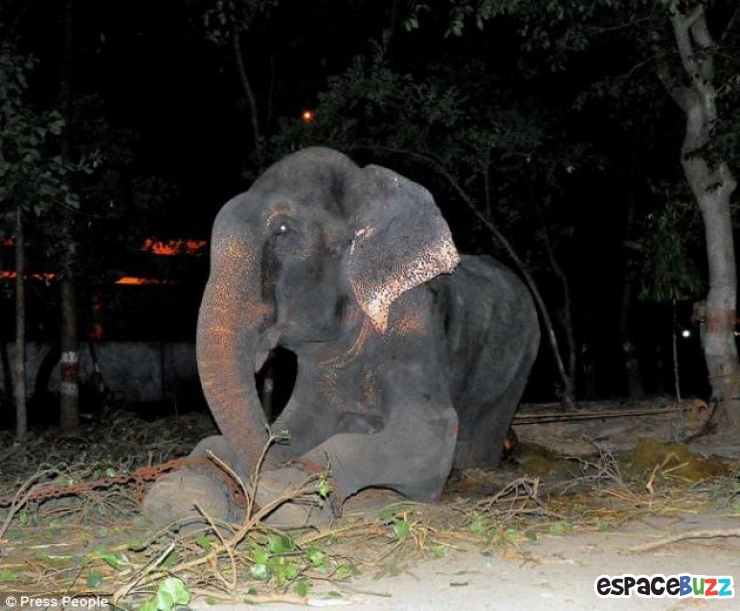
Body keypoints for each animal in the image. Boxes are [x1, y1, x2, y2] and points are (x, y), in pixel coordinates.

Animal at [143, 147, 539, 527]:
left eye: (283, 230)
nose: (248, 489)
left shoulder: (413, 321)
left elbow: (430, 434)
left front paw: (288, 494)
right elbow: (294, 425)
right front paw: (180, 491)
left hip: (521, 362)